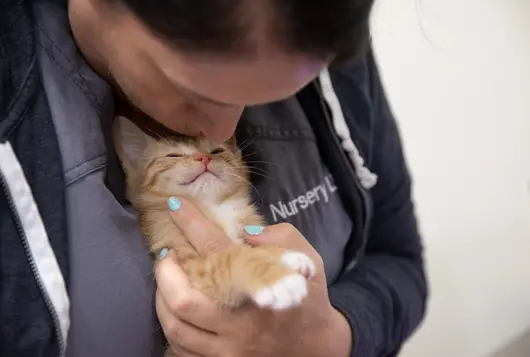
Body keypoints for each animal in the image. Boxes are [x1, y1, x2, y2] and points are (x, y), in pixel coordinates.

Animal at [112, 116, 314, 314]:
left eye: (217, 151)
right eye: (173, 156)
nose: (204, 157)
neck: (213, 206)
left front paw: (282, 255)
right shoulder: (192, 266)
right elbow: (231, 258)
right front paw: (274, 278)